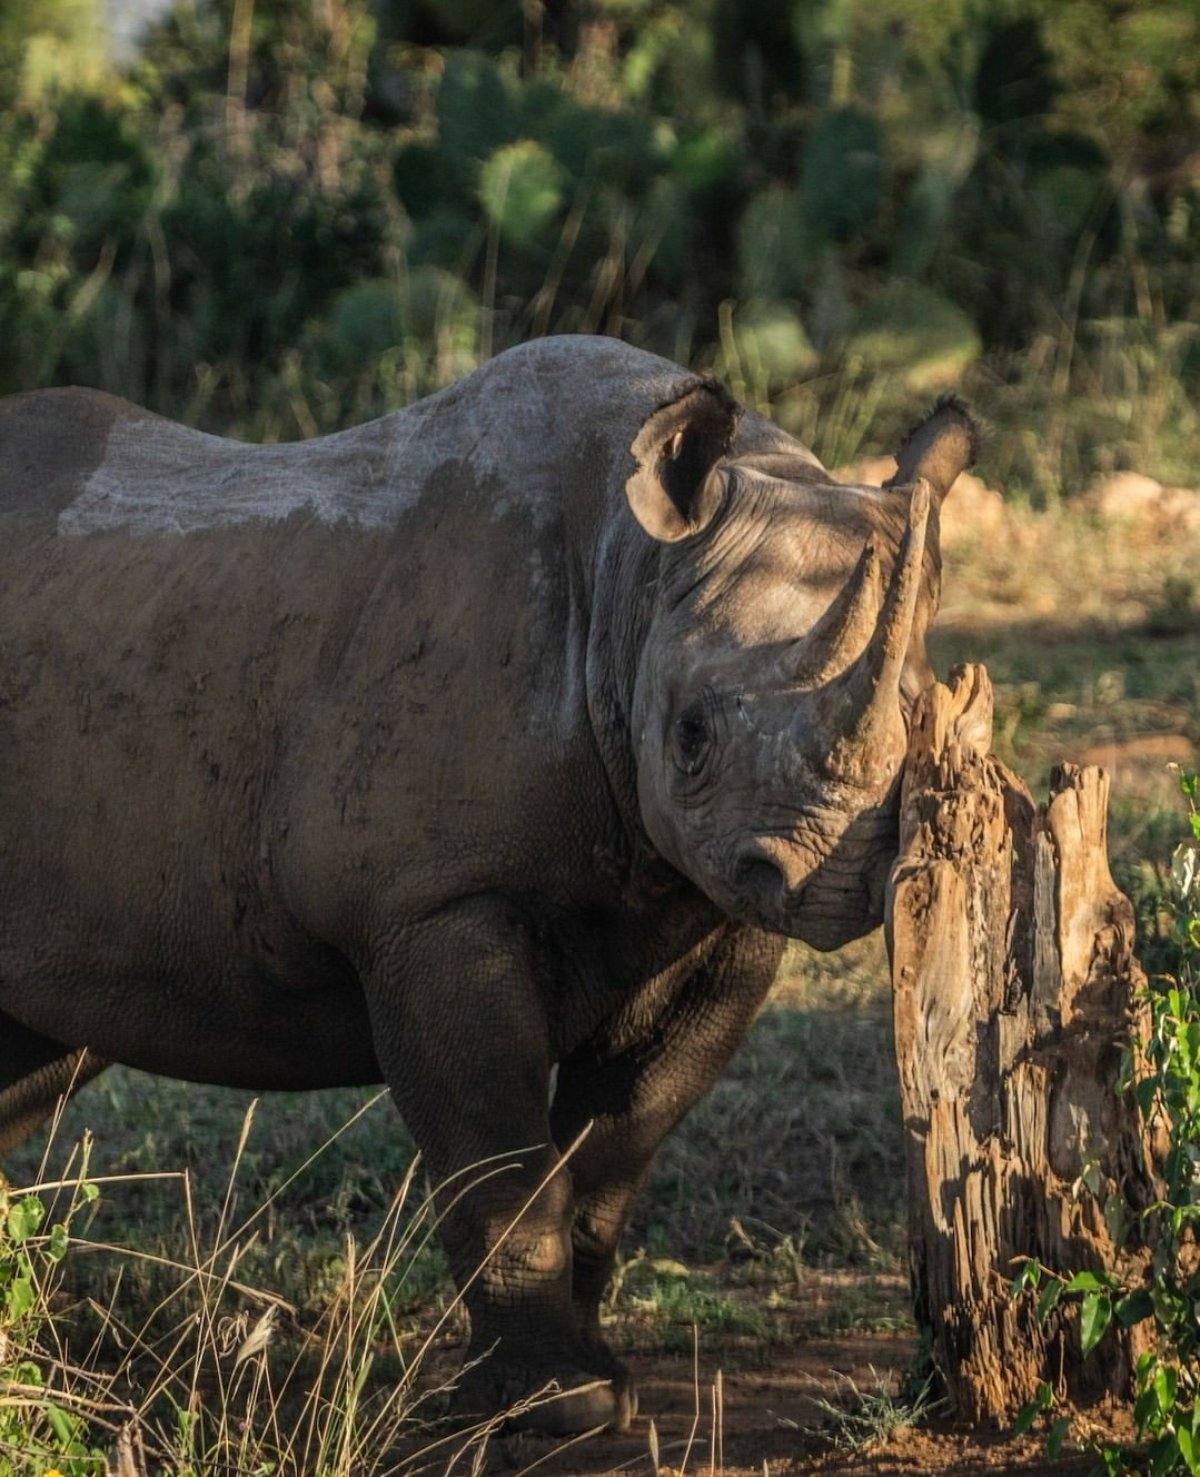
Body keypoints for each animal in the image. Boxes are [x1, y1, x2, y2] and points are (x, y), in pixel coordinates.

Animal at [0, 335, 974, 1434]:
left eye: (922, 715)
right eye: (690, 735)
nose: (829, 873)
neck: (635, 572)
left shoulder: (715, 906)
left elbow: (614, 1143)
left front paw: (600, 1385)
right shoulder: (430, 903)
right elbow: (496, 1150)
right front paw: (556, 1409)